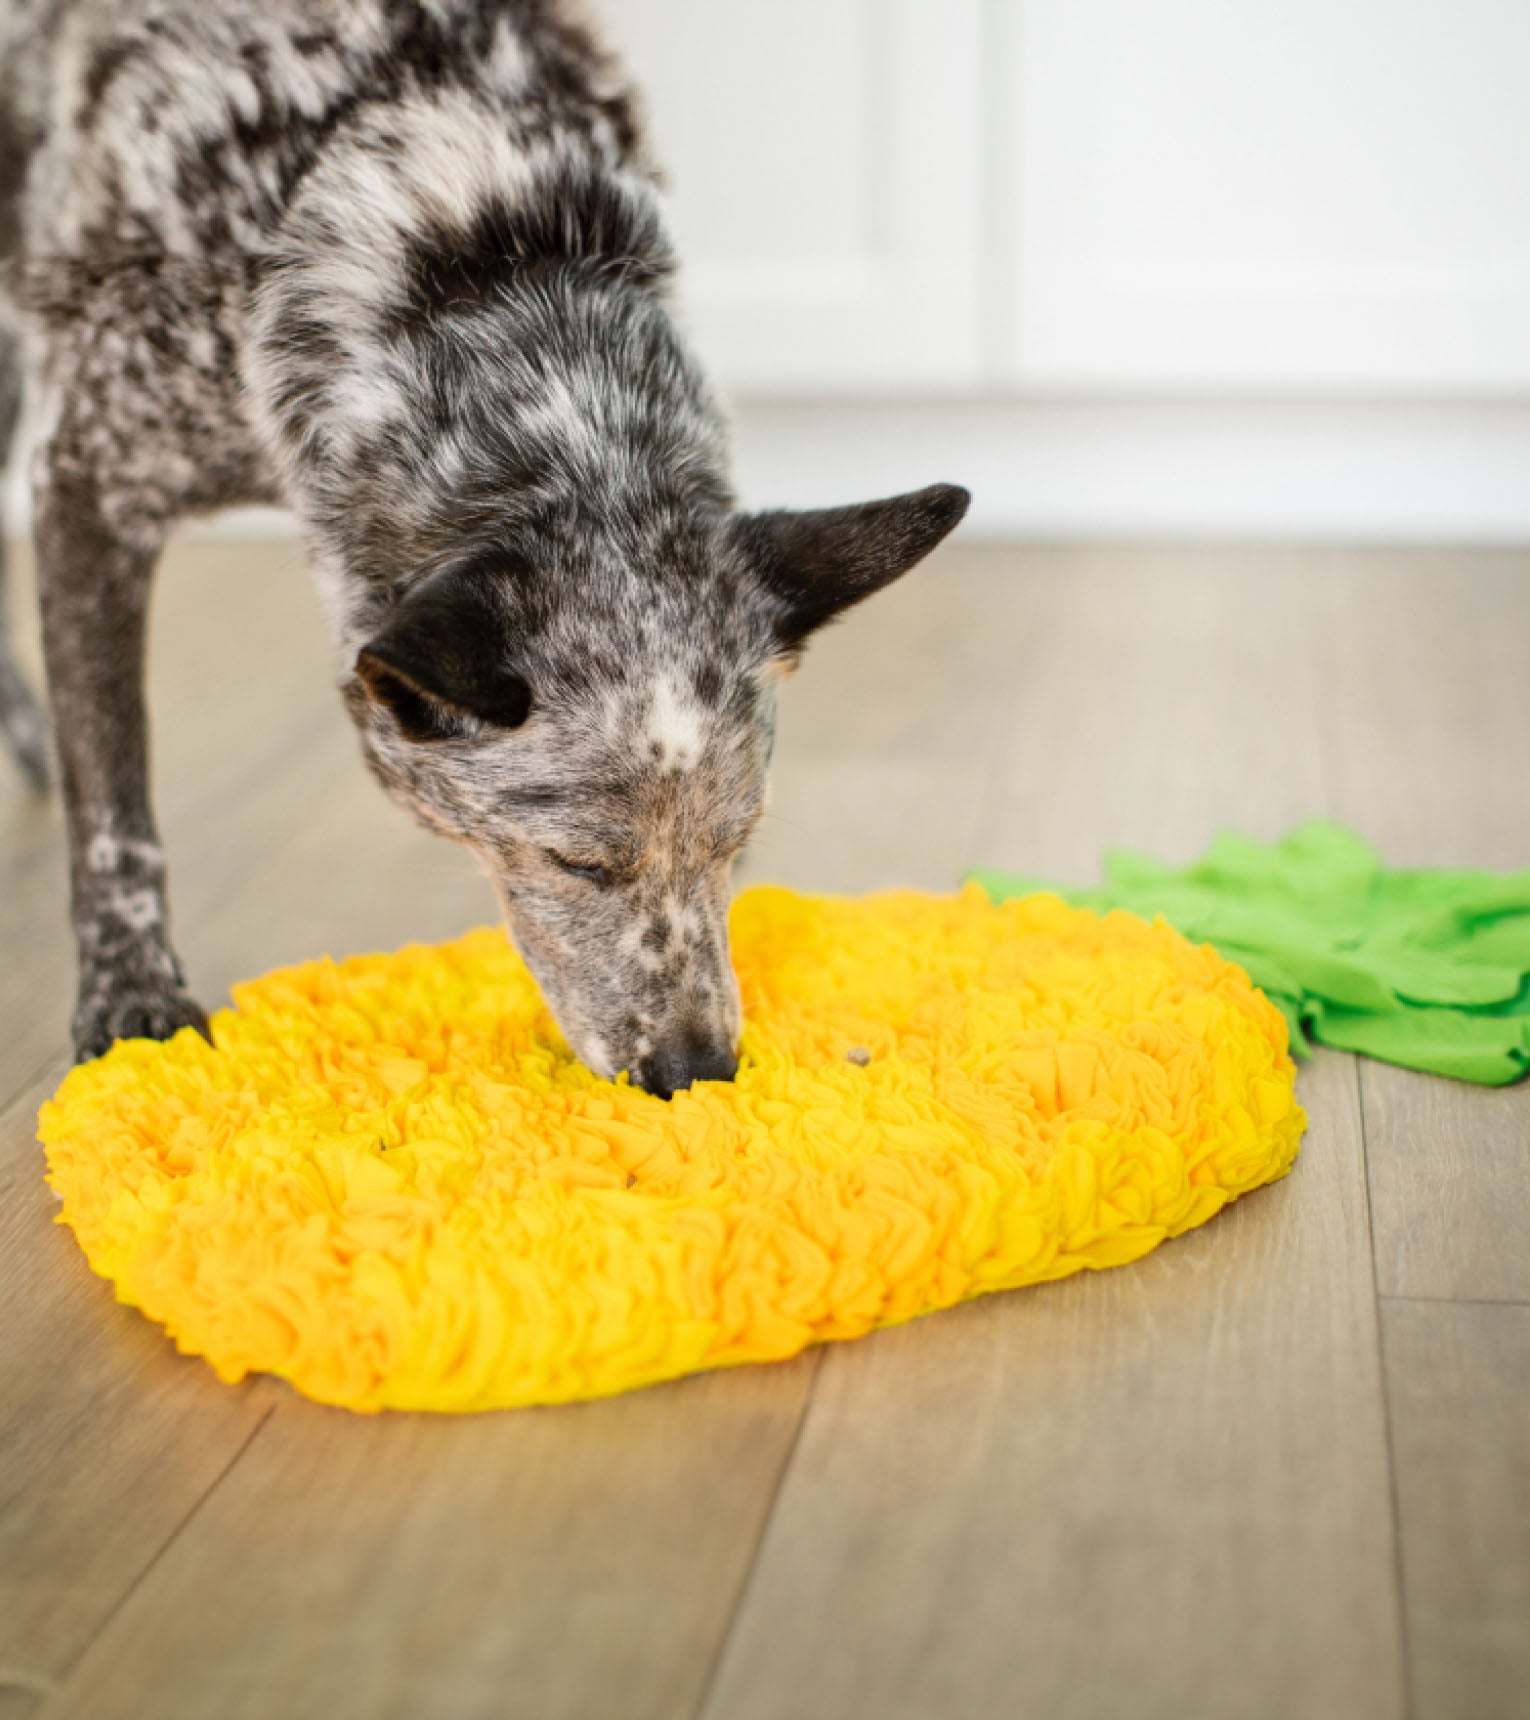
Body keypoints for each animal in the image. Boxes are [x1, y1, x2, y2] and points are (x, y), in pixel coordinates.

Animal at [0, 0, 962, 1093]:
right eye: (576, 862)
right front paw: (132, 1001)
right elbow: (113, 799)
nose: (697, 1070)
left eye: (738, 843)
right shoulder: (91, 478)